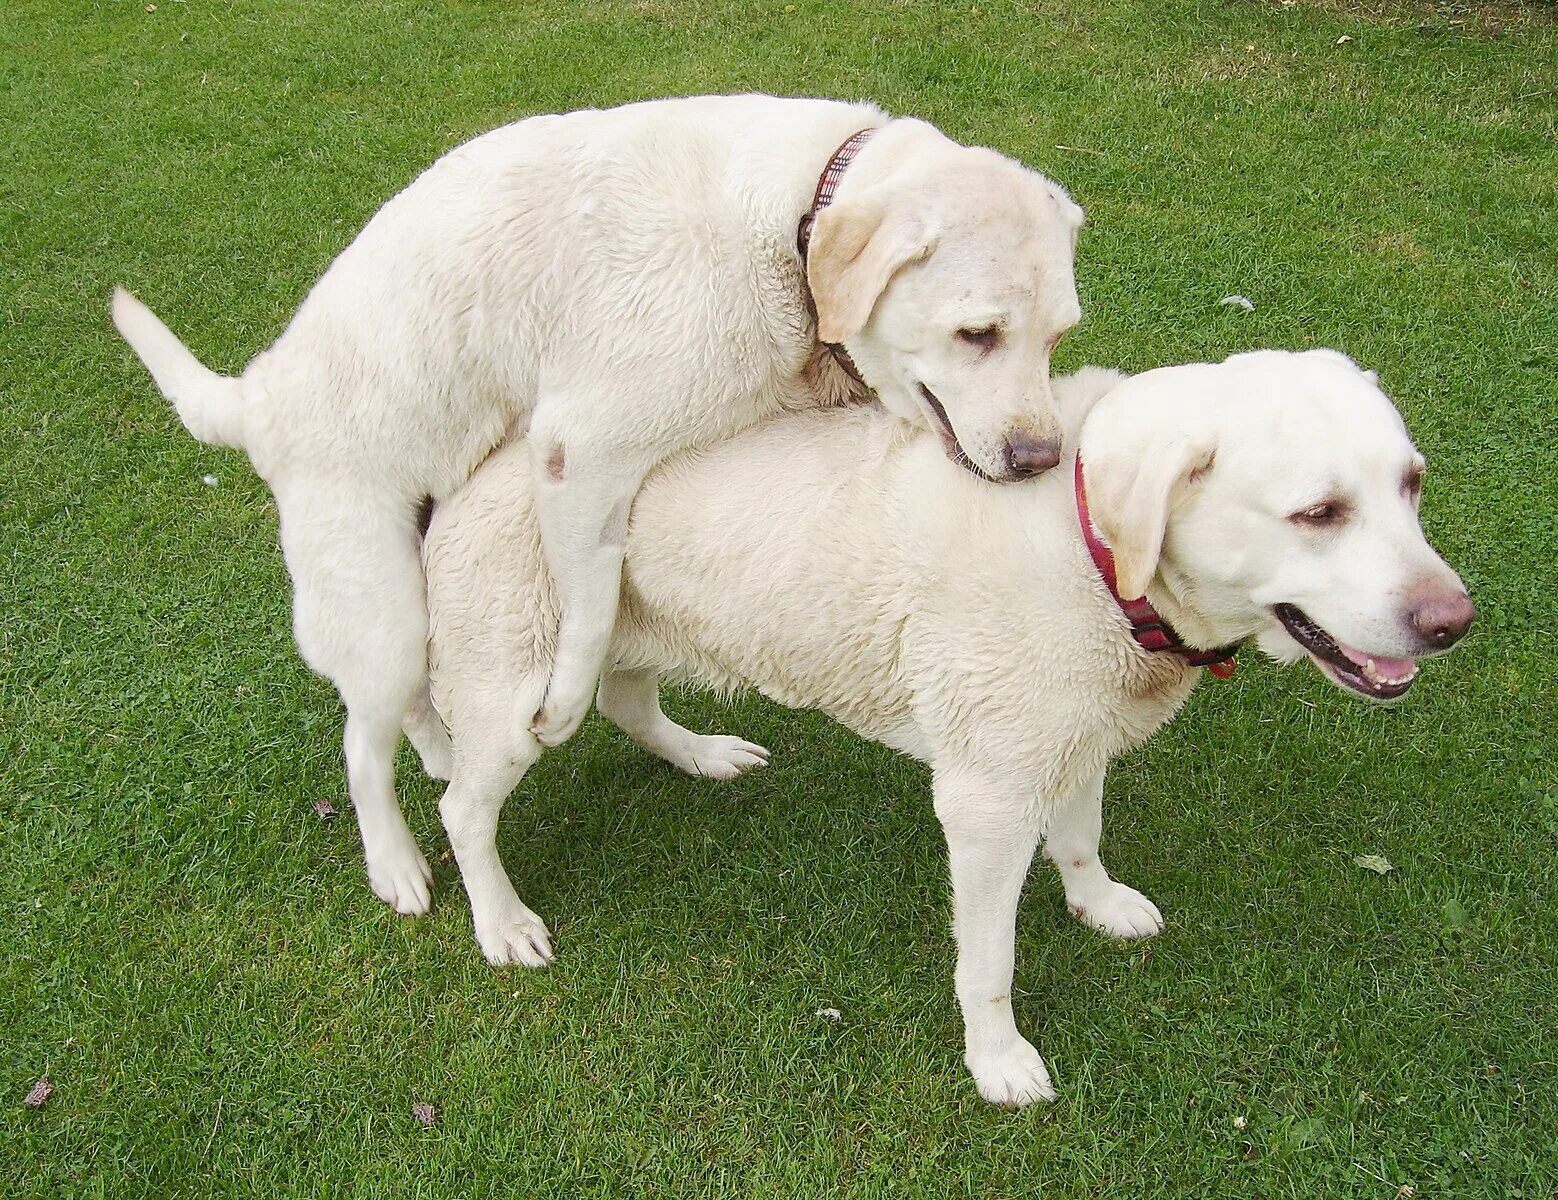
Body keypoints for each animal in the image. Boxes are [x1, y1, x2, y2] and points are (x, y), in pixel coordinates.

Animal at [112, 95, 1084, 916]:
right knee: (362, 740)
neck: (794, 222)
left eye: (1057, 336)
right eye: (978, 333)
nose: (1041, 460)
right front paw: (560, 708)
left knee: (417, 710)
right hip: (377, 600)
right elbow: (586, 621)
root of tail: (256, 394)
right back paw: (396, 860)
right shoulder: (578, 453)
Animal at [414, 349, 1470, 1103]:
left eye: (1412, 484)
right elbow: (989, 960)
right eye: (1319, 513)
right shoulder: (987, 800)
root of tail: (492, 454)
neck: (1093, 551)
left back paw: (703, 755)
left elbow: (1081, 838)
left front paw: (1098, 902)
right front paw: (997, 1061)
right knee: (464, 808)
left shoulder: (1075, 735)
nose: (1454, 621)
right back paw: (502, 923)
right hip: (518, 691)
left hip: (621, 634)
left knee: (629, 703)